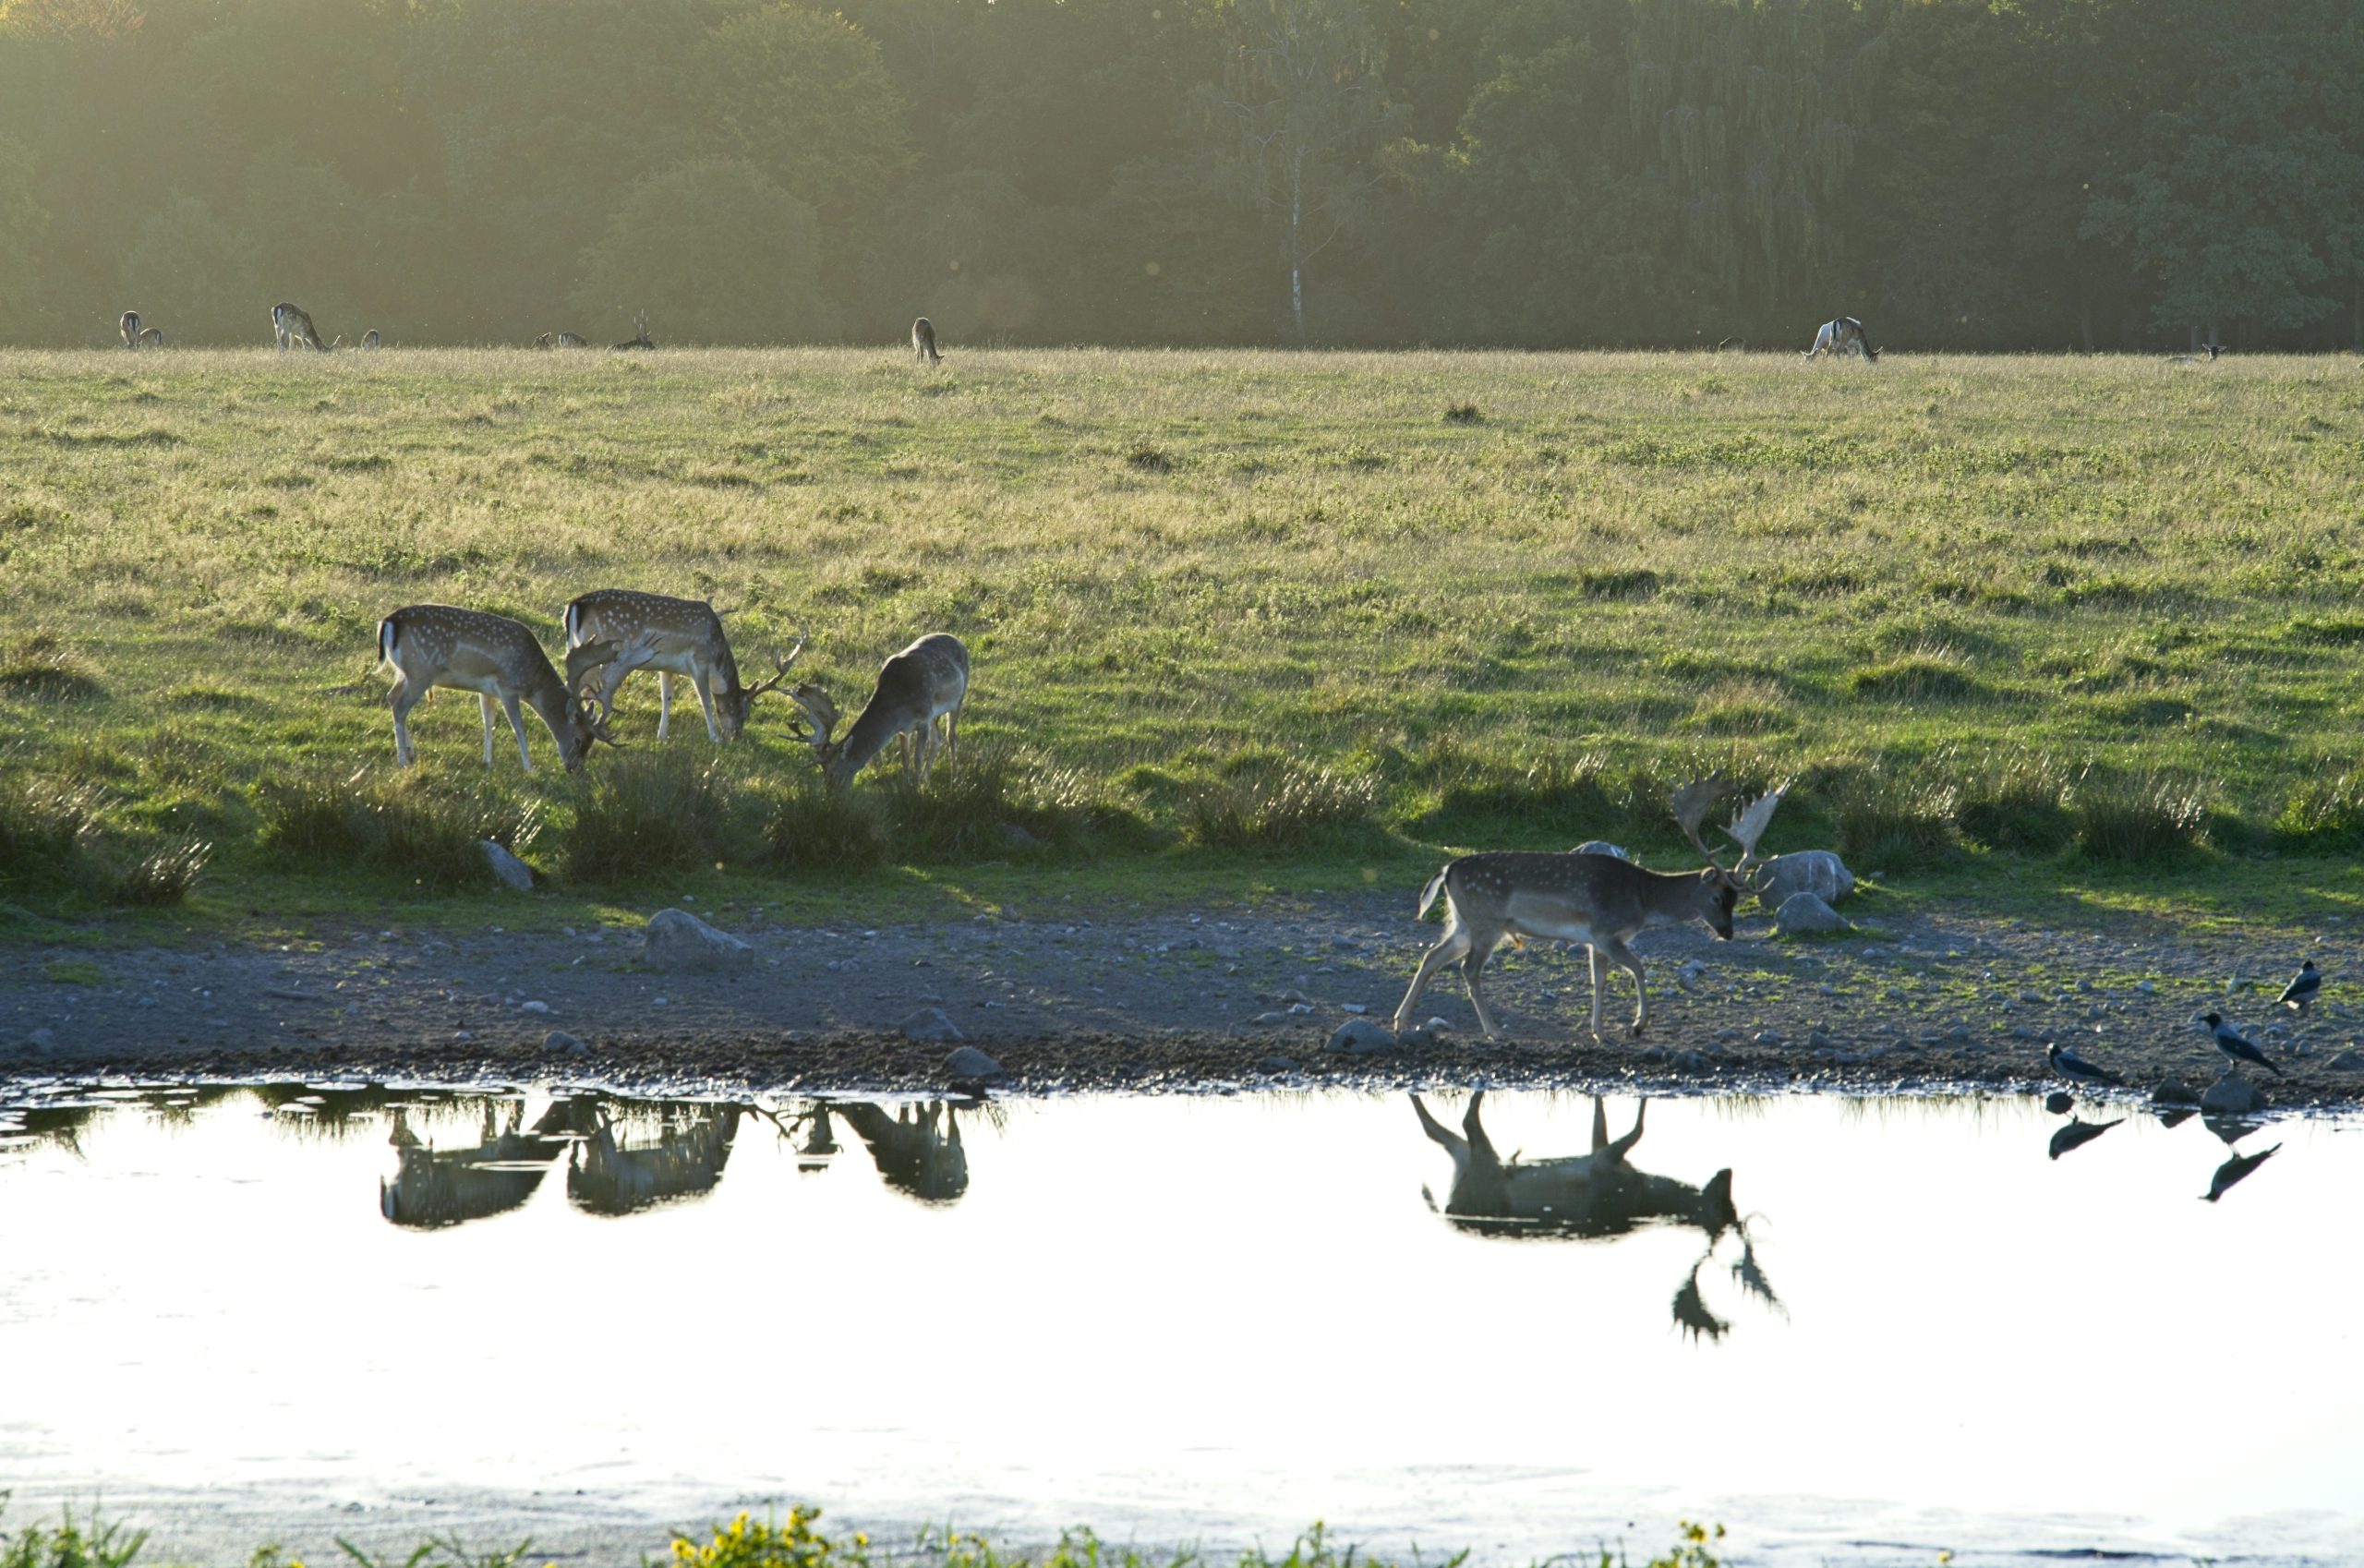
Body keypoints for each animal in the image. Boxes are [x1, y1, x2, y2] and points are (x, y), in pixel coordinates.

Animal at [375, 603, 652, 772]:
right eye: (578, 738)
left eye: (590, 743)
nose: (574, 769)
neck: (532, 679)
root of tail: (388, 622)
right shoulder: (508, 686)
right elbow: (517, 726)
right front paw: (528, 766)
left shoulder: (487, 689)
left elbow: (488, 721)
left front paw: (487, 761)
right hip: (421, 671)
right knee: (400, 706)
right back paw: (402, 759)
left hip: (407, 672)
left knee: (391, 697)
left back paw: (410, 752)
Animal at [561, 589, 803, 743]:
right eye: (745, 713)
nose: (735, 736)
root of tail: (575, 605)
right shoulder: (699, 661)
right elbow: (705, 699)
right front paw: (714, 738)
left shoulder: (667, 667)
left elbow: (667, 697)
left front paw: (662, 736)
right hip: (601, 648)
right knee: (589, 690)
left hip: (576, 646)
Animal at [785, 633, 970, 791]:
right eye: (823, 775)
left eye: (832, 773)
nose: (831, 796)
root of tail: (958, 641)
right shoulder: (905, 728)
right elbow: (905, 758)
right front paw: (907, 786)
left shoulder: (924, 717)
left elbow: (917, 758)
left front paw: (914, 790)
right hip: (935, 714)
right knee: (937, 739)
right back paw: (926, 780)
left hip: (959, 697)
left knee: (951, 736)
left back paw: (954, 776)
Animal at [1391, 772, 1784, 1041]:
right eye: (1717, 897)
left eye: (1736, 899)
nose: (1728, 932)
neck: (1642, 900)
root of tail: (1447, 869)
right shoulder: (1606, 930)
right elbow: (1638, 968)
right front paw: (1637, 1025)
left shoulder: (1595, 940)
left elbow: (1599, 981)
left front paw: (1600, 1031)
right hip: (1487, 922)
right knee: (1468, 969)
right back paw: (1494, 1030)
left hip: (1463, 922)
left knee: (1432, 956)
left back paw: (1401, 1020)